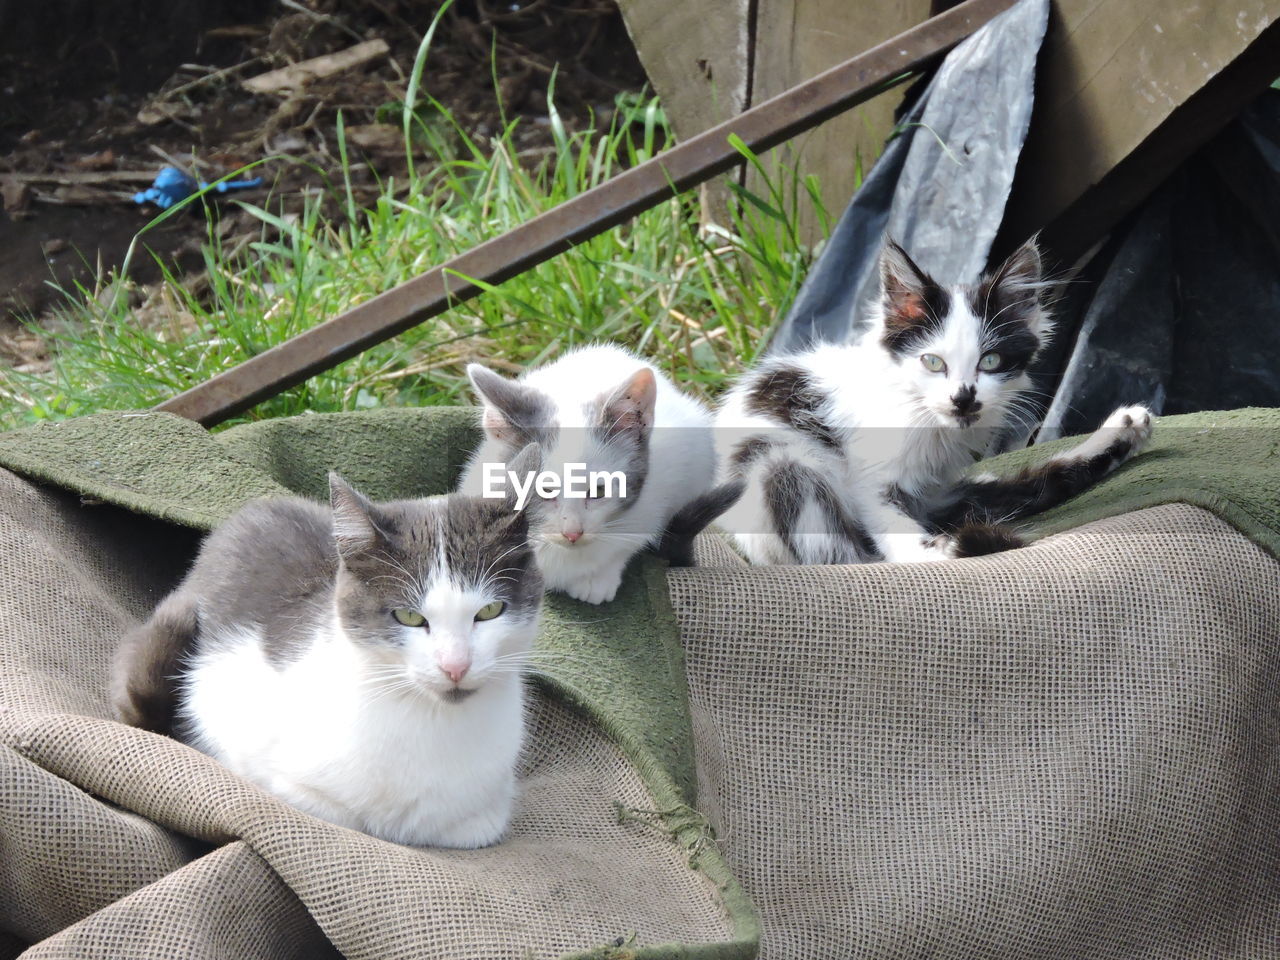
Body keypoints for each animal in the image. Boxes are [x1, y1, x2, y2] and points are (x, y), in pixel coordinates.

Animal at [113, 442, 545, 849]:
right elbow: (337, 814)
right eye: (408, 616)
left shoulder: (482, 820)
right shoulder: (278, 775)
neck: (431, 719)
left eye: (489, 610)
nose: (455, 666)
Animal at [716, 240, 1157, 568]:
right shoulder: (870, 482)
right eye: (932, 362)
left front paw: (1123, 430)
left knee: (1034, 485)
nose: (963, 398)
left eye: (990, 361)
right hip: (781, 466)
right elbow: (896, 536)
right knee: (842, 554)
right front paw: (944, 550)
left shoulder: (936, 488)